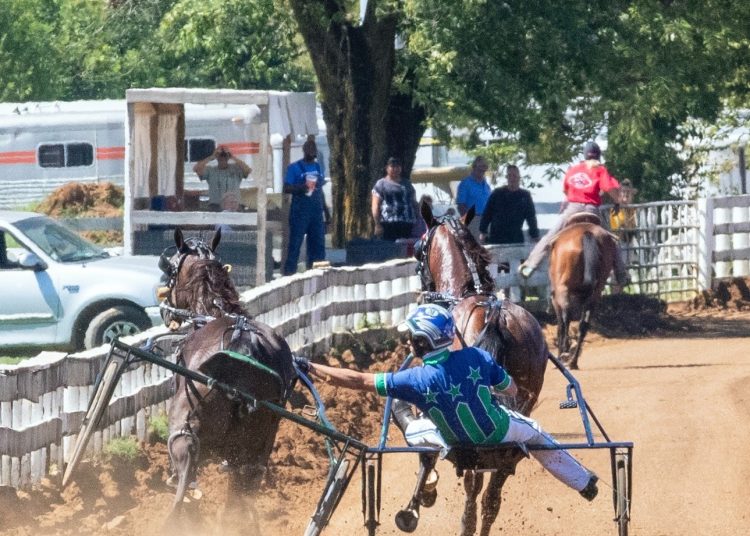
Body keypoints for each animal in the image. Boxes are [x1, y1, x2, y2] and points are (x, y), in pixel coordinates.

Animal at [157, 228, 296, 516]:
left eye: (170, 269)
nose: (165, 311)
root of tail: (243, 345)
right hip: (253, 452)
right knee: (241, 490)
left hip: (184, 429)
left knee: (185, 469)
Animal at [414, 202, 548, 536]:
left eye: (418, 249)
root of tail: (496, 314)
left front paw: (426, 491)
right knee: (495, 486)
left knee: (475, 477)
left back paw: (467, 521)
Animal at [548, 214, 620, 368]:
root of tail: (587, 233)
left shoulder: (555, 299)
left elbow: (560, 325)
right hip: (595, 294)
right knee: (583, 325)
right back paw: (573, 361)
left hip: (563, 291)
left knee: (566, 318)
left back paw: (565, 355)